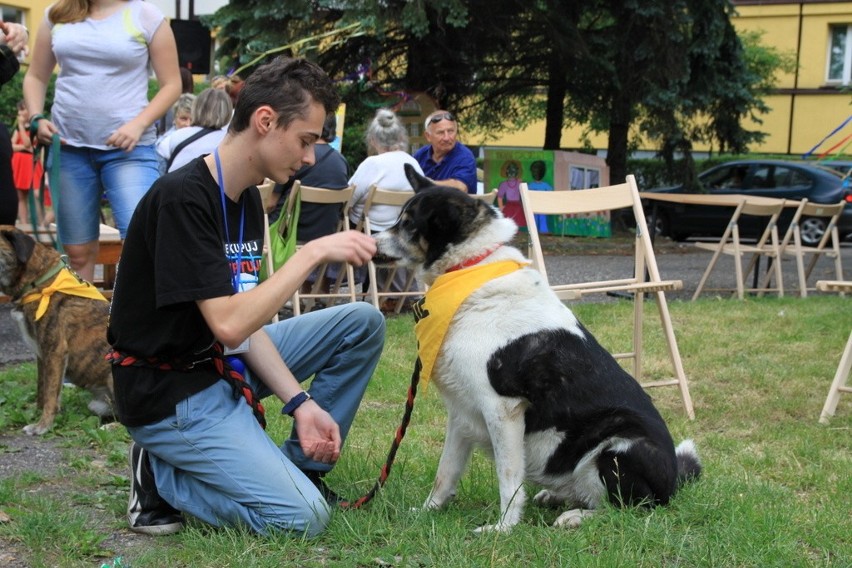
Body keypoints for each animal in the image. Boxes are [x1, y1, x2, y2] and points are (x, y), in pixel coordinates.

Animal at [0, 226, 115, 434]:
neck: (39, 282)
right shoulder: (42, 355)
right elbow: (43, 389)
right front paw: (37, 413)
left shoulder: (55, 351)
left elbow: (51, 394)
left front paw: (42, 426)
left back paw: (110, 426)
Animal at [372, 164, 700, 532]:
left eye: (408, 223)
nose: (370, 243)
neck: (469, 269)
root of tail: (673, 481)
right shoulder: (462, 412)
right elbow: (446, 472)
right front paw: (430, 511)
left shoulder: (503, 408)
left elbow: (508, 478)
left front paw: (503, 527)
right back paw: (557, 498)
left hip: (619, 446)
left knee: (631, 508)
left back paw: (576, 516)